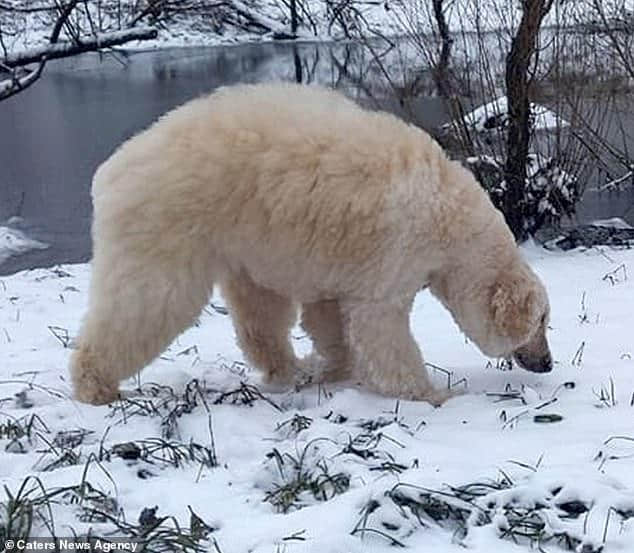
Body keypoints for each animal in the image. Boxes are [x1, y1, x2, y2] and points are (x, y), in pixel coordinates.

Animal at [70, 84, 548, 408]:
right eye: (542, 322)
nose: (546, 363)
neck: (448, 211)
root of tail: (111, 171)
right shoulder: (396, 249)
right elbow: (381, 328)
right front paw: (433, 392)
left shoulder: (341, 263)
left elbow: (328, 314)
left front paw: (332, 368)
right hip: (168, 224)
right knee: (147, 302)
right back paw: (96, 385)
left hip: (240, 237)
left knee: (259, 311)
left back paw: (289, 367)